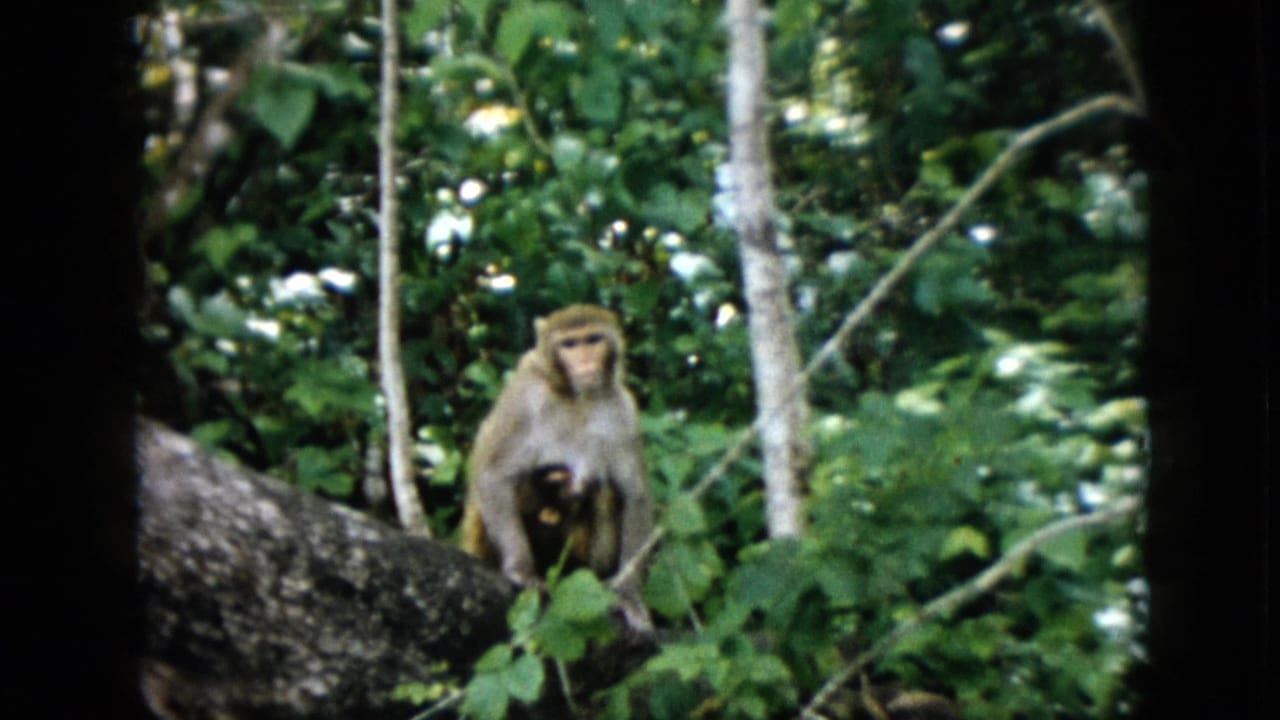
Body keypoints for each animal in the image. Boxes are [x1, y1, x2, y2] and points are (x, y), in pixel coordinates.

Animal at [461, 304, 654, 634]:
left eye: (592, 340)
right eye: (569, 344)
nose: (585, 360)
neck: (577, 397)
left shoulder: (625, 412)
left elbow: (634, 495)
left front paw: (629, 596)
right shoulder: (525, 394)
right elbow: (493, 473)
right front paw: (521, 569)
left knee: (603, 491)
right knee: (537, 479)